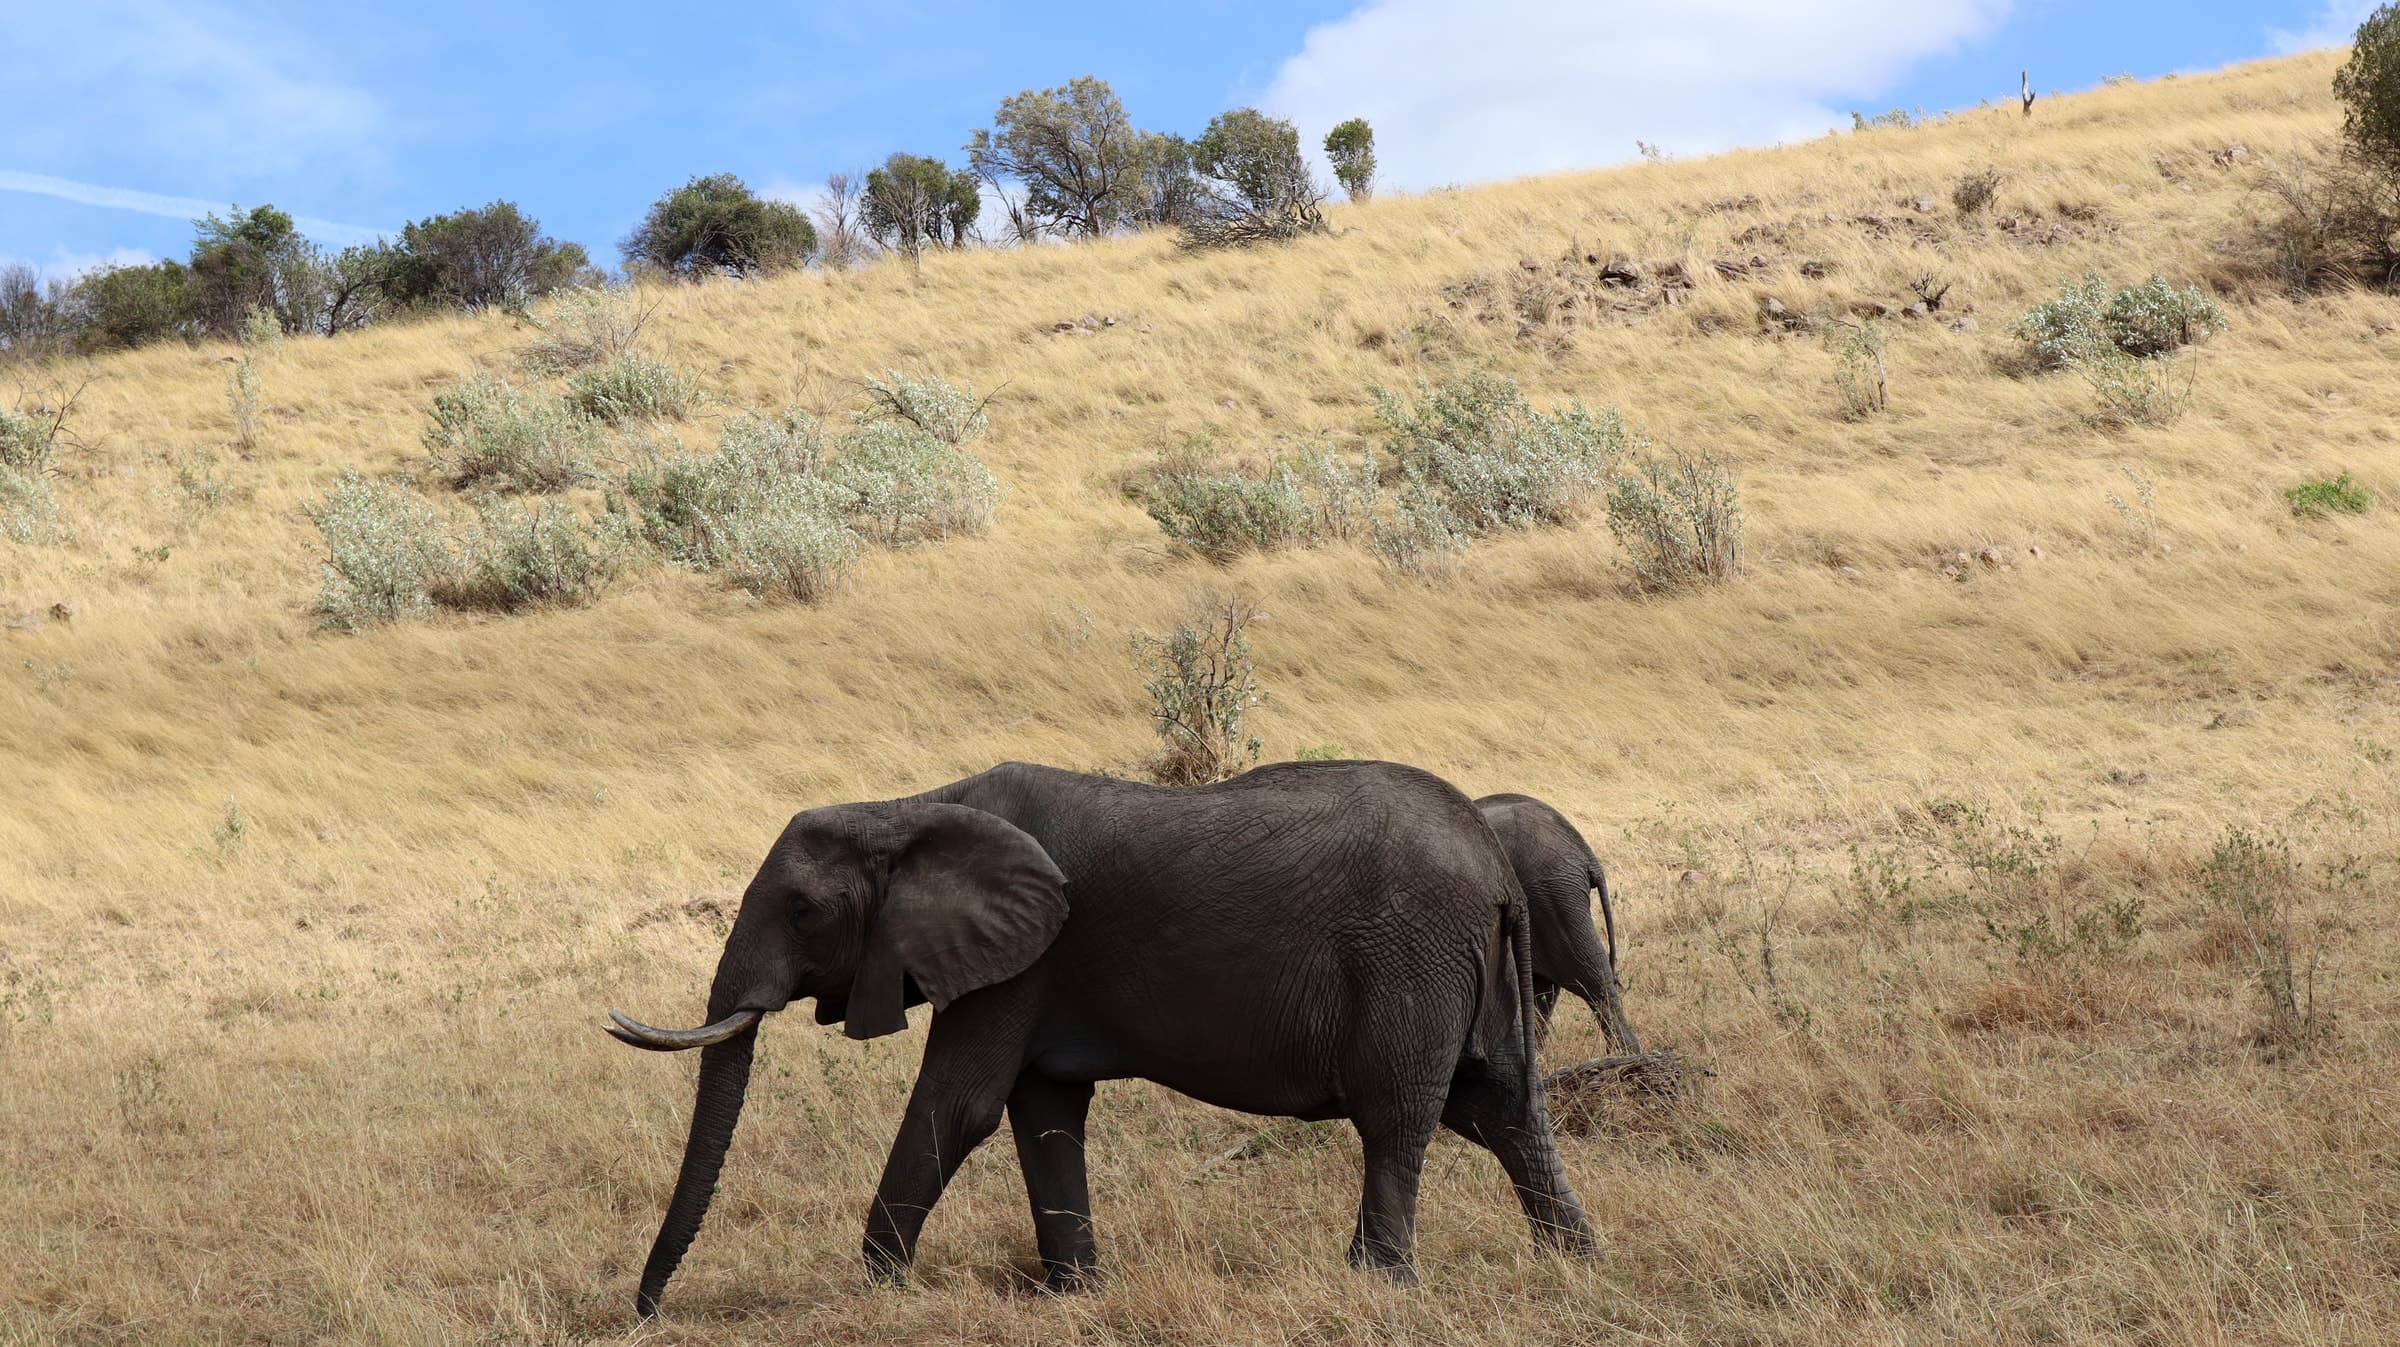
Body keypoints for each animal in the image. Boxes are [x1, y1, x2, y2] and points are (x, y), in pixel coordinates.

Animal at [607, 759, 1596, 1317]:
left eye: (805, 911)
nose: (646, 1311)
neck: (908, 807)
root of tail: (1497, 868)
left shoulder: (1020, 963)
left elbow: (960, 1104)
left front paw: (879, 1289)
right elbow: (1042, 1111)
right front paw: (1074, 1295)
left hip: (1410, 959)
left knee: (1398, 1119)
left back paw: (1376, 1285)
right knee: (1502, 1108)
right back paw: (1576, 1263)